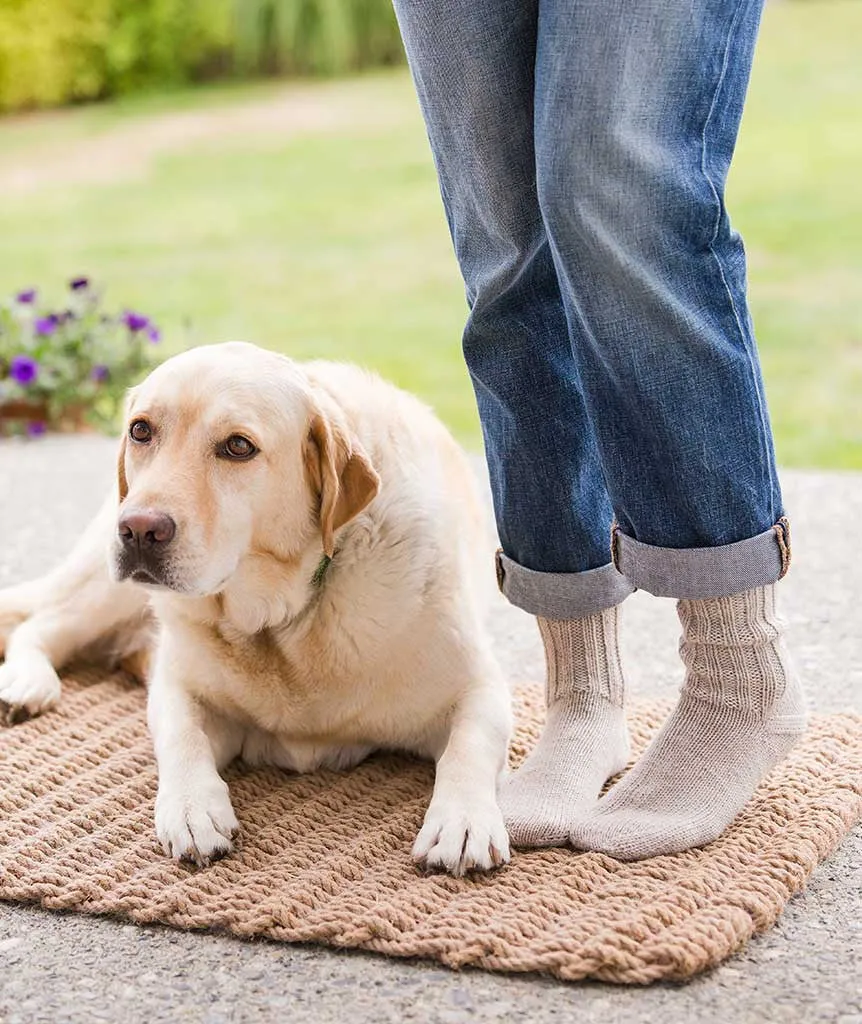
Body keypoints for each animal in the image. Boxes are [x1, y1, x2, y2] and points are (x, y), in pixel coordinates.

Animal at [0, 344, 509, 872]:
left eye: (238, 447)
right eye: (141, 430)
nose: (139, 529)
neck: (286, 618)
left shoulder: (479, 687)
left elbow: (467, 747)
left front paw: (462, 821)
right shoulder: (182, 689)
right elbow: (181, 733)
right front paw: (191, 808)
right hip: (108, 583)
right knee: (40, 625)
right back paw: (28, 682)